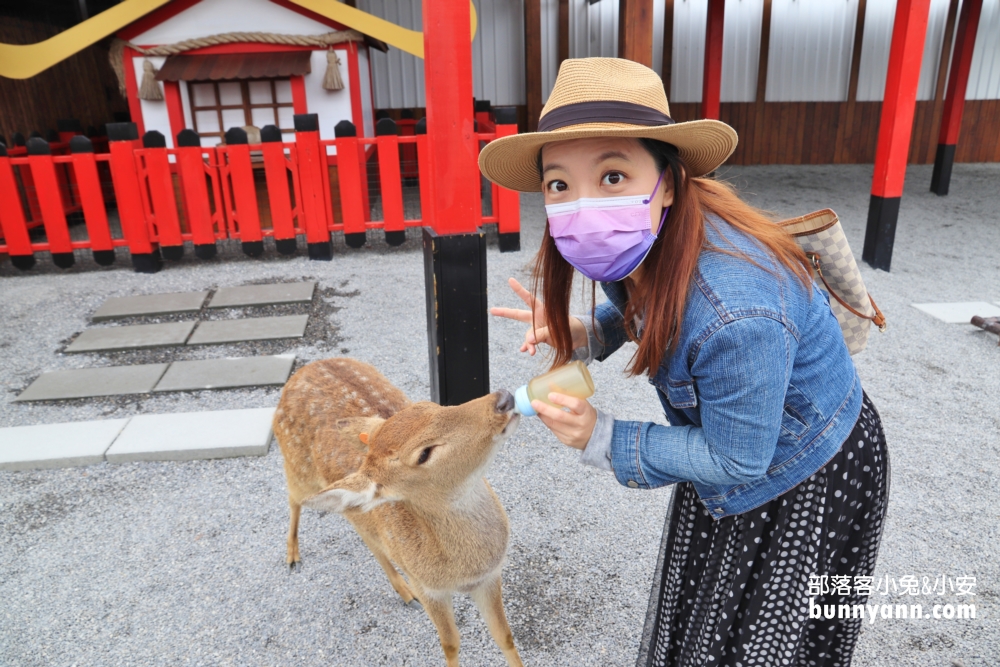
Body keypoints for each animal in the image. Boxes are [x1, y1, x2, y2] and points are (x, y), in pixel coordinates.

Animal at [274, 360, 524, 667]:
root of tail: (302, 371)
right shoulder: (429, 588)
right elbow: (450, 644)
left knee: (365, 533)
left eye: (432, 405)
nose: (503, 399)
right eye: (424, 453)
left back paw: (403, 592)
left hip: (354, 509)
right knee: (293, 497)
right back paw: (293, 556)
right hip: (298, 469)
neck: (465, 570)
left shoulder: (490, 577)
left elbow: (505, 636)